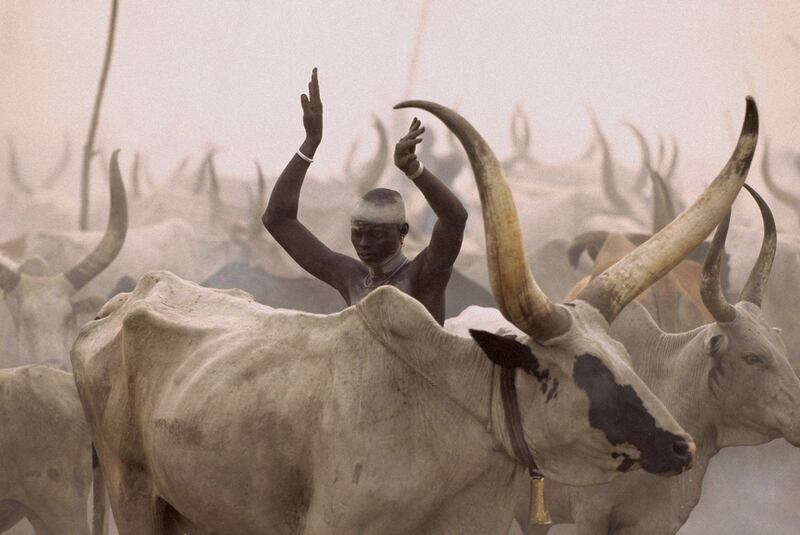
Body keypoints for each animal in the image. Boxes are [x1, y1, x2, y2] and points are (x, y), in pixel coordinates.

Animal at [72, 98, 760, 532]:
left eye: (623, 355)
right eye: (578, 371)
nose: (679, 444)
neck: (450, 414)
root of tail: (121, 302)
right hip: (133, 493)